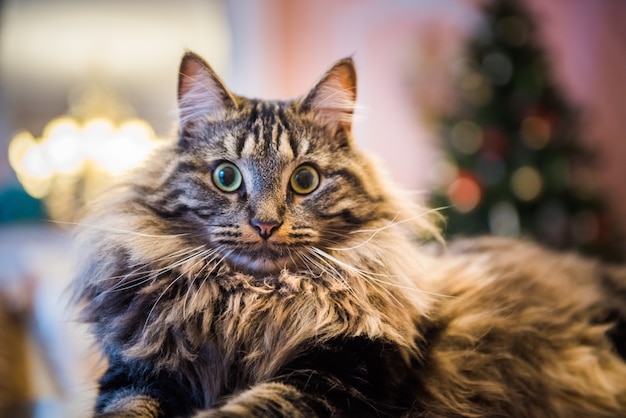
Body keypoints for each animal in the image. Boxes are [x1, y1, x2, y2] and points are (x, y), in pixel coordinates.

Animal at [72, 53, 624, 418]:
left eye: (305, 180)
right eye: (226, 177)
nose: (265, 224)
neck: (249, 305)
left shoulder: (341, 375)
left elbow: (249, 409)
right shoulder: (136, 375)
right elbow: (127, 410)